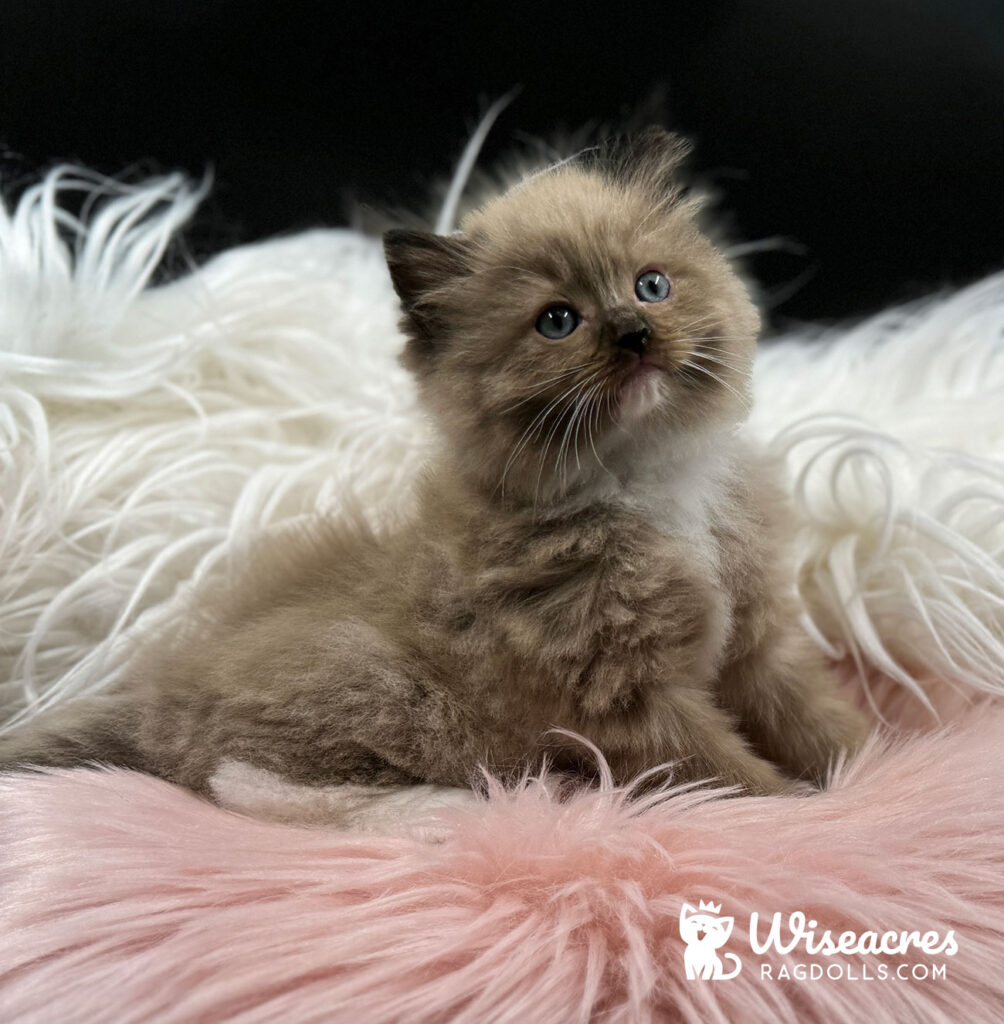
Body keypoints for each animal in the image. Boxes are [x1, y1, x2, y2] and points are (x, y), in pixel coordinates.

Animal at [0, 130, 864, 815]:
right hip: (389, 692)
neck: (647, 479)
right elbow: (726, 772)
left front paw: (868, 767)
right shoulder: (622, 698)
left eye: (652, 284)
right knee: (244, 781)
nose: (632, 332)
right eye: (558, 321)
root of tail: (157, 692)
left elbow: (810, 713)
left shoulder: (755, 642)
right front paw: (799, 809)